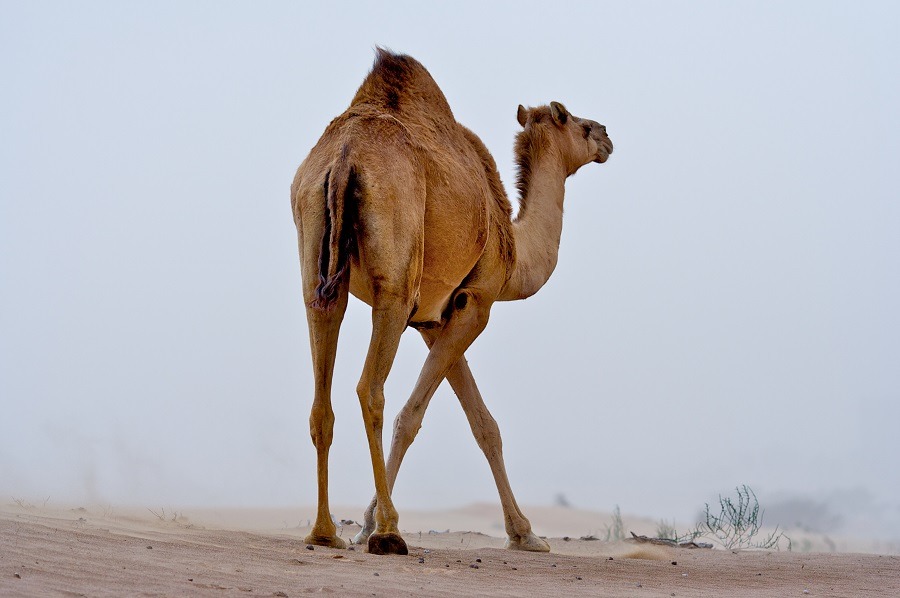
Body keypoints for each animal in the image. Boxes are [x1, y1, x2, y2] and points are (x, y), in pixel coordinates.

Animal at [292, 50, 616, 556]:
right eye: (579, 125)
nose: (606, 136)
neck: (515, 248)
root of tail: (345, 158)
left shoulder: (434, 319)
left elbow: (484, 424)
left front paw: (524, 533)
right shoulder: (475, 304)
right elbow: (414, 416)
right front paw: (371, 525)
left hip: (317, 263)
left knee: (321, 389)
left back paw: (324, 533)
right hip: (395, 283)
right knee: (370, 389)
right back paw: (389, 533)